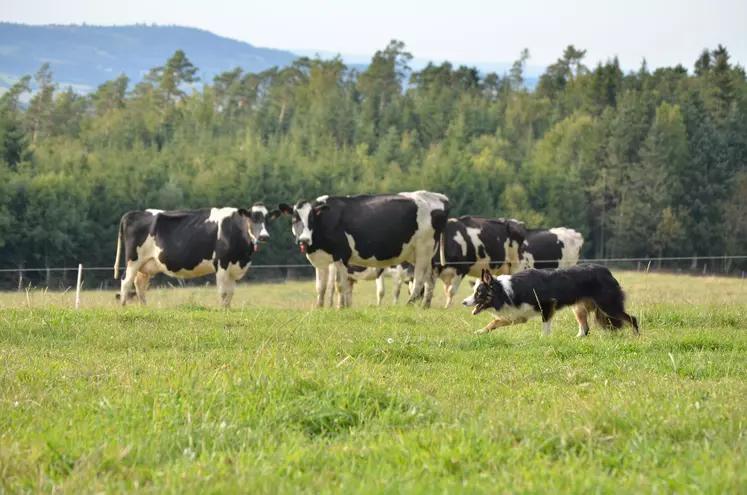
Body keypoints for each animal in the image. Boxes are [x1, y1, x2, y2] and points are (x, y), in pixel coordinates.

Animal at [114, 204, 280, 306]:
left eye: (267, 219)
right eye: (252, 218)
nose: (264, 236)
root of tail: (133, 213)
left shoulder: (233, 266)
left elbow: (230, 293)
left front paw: (228, 309)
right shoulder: (222, 263)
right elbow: (223, 292)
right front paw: (222, 311)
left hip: (146, 264)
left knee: (140, 285)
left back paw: (144, 307)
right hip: (133, 260)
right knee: (126, 281)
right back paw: (123, 307)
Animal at [278, 192, 448, 308]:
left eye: (312, 218)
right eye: (295, 219)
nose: (304, 240)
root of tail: (438, 197)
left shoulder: (341, 255)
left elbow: (340, 285)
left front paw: (341, 307)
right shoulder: (321, 259)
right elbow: (321, 286)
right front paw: (320, 307)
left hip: (423, 248)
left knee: (419, 278)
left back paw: (410, 304)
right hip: (420, 253)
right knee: (430, 277)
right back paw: (425, 305)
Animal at [464, 266, 640, 340]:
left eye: (478, 293)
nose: (463, 302)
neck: (505, 291)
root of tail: (607, 271)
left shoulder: (548, 305)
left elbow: (545, 326)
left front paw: (543, 339)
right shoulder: (519, 314)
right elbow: (494, 322)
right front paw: (480, 332)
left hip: (607, 306)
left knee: (632, 318)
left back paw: (637, 336)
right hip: (579, 308)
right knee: (585, 329)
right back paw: (576, 339)